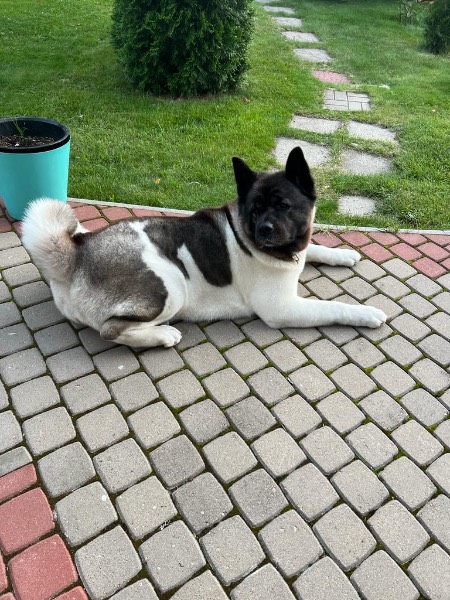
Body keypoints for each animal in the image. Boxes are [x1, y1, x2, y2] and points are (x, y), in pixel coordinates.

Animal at [21, 147, 386, 348]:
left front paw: (343, 253)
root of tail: (78, 254)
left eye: (282, 206)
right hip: (170, 285)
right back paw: (161, 336)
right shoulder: (282, 308)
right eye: (255, 210)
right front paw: (366, 313)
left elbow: (315, 248)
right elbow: (333, 306)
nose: (264, 229)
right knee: (111, 329)